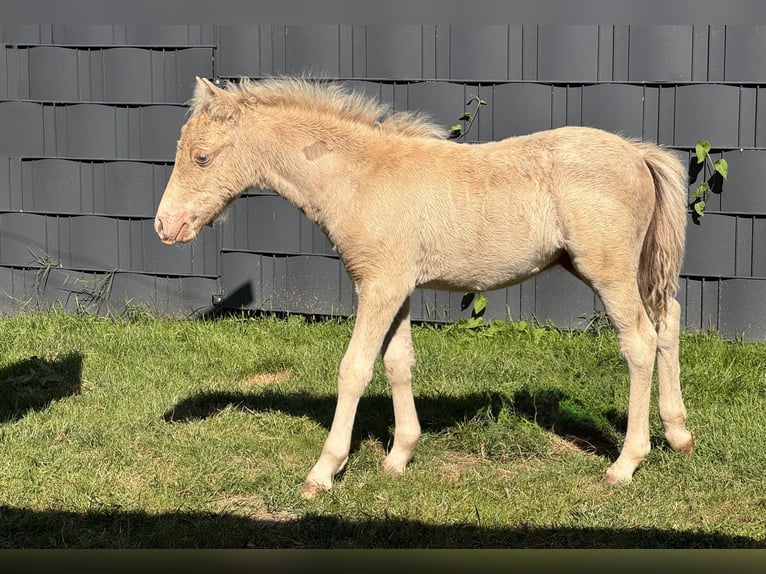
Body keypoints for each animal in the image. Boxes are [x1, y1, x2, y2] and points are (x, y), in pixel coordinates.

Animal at [154, 76, 694, 498]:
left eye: (201, 157)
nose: (164, 226)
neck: (360, 176)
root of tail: (637, 153)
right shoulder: (397, 286)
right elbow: (397, 363)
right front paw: (399, 456)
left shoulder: (378, 286)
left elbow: (354, 369)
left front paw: (323, 472)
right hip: (620, 268)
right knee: (668, 318)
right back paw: (679, 434)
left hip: (608, 271)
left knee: (640, 341)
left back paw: (626, 463)